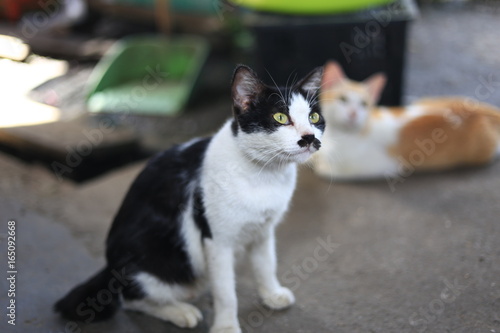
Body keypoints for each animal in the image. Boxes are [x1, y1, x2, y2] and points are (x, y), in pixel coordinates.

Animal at [55, 65, 324, 332]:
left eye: (314, 118)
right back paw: (180, 312)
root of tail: (109, 266)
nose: (310, 137)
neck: (265, 175)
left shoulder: (264, 230)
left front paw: (271, 294)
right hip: (153, 261)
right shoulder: (217, 241)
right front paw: (226, 326)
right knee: (131, 299)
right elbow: (226, 292)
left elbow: (266, 264)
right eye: (280, 117)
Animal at [312, 61, 500, 185]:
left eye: (364, 104)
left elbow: (321, 167)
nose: (353, 113)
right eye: (342, 99)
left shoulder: (348, 169)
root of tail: (489, 112)